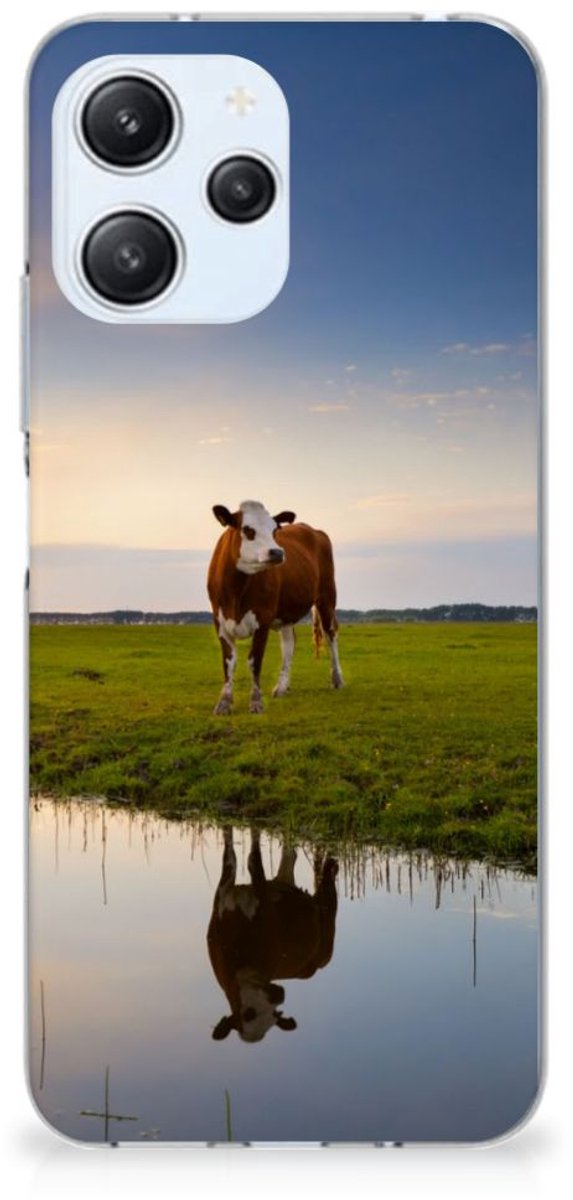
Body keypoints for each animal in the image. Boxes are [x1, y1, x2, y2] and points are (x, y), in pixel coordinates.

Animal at [207, 500, 343, 715]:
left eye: (274, 530)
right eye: (247, 530)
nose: (278, 552)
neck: (236, 591)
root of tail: (313, 529)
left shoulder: (262, 620)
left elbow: (254, 661)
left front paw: (256, 702)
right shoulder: (220, 622)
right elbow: (228, 662)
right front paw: (224, 702)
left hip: (327, 597)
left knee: (331, 634)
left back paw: (337, 679)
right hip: (287, 612)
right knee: (289, 643)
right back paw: (281, 687)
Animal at [207, 826, 338, 1043]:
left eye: (274, 1015)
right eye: (248, 1014)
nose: (279, 995)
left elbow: (253, 860)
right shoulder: (222, 895)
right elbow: (230, 855)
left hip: (326, 929)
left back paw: (331, 865)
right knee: (290, 856)